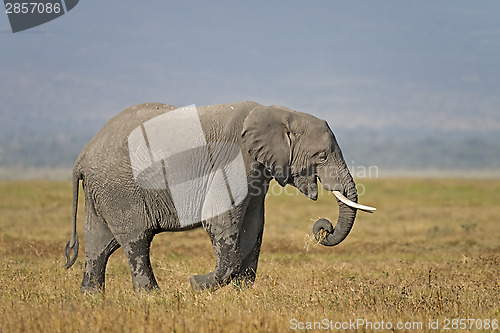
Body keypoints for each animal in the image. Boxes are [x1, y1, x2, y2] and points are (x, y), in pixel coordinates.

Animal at [63, 100, 376, 292]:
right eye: (321, 156)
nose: (323, 228)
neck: (276, 112)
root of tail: (82, 156)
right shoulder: (233, 159)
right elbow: (221, 221)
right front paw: (197, 284)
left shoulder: (257, 172)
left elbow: (253, 224)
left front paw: (242, 291)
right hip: (121, 190)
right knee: (136, 240)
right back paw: (151, 295)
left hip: (103, 191)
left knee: (100, 244)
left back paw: (92, 297)